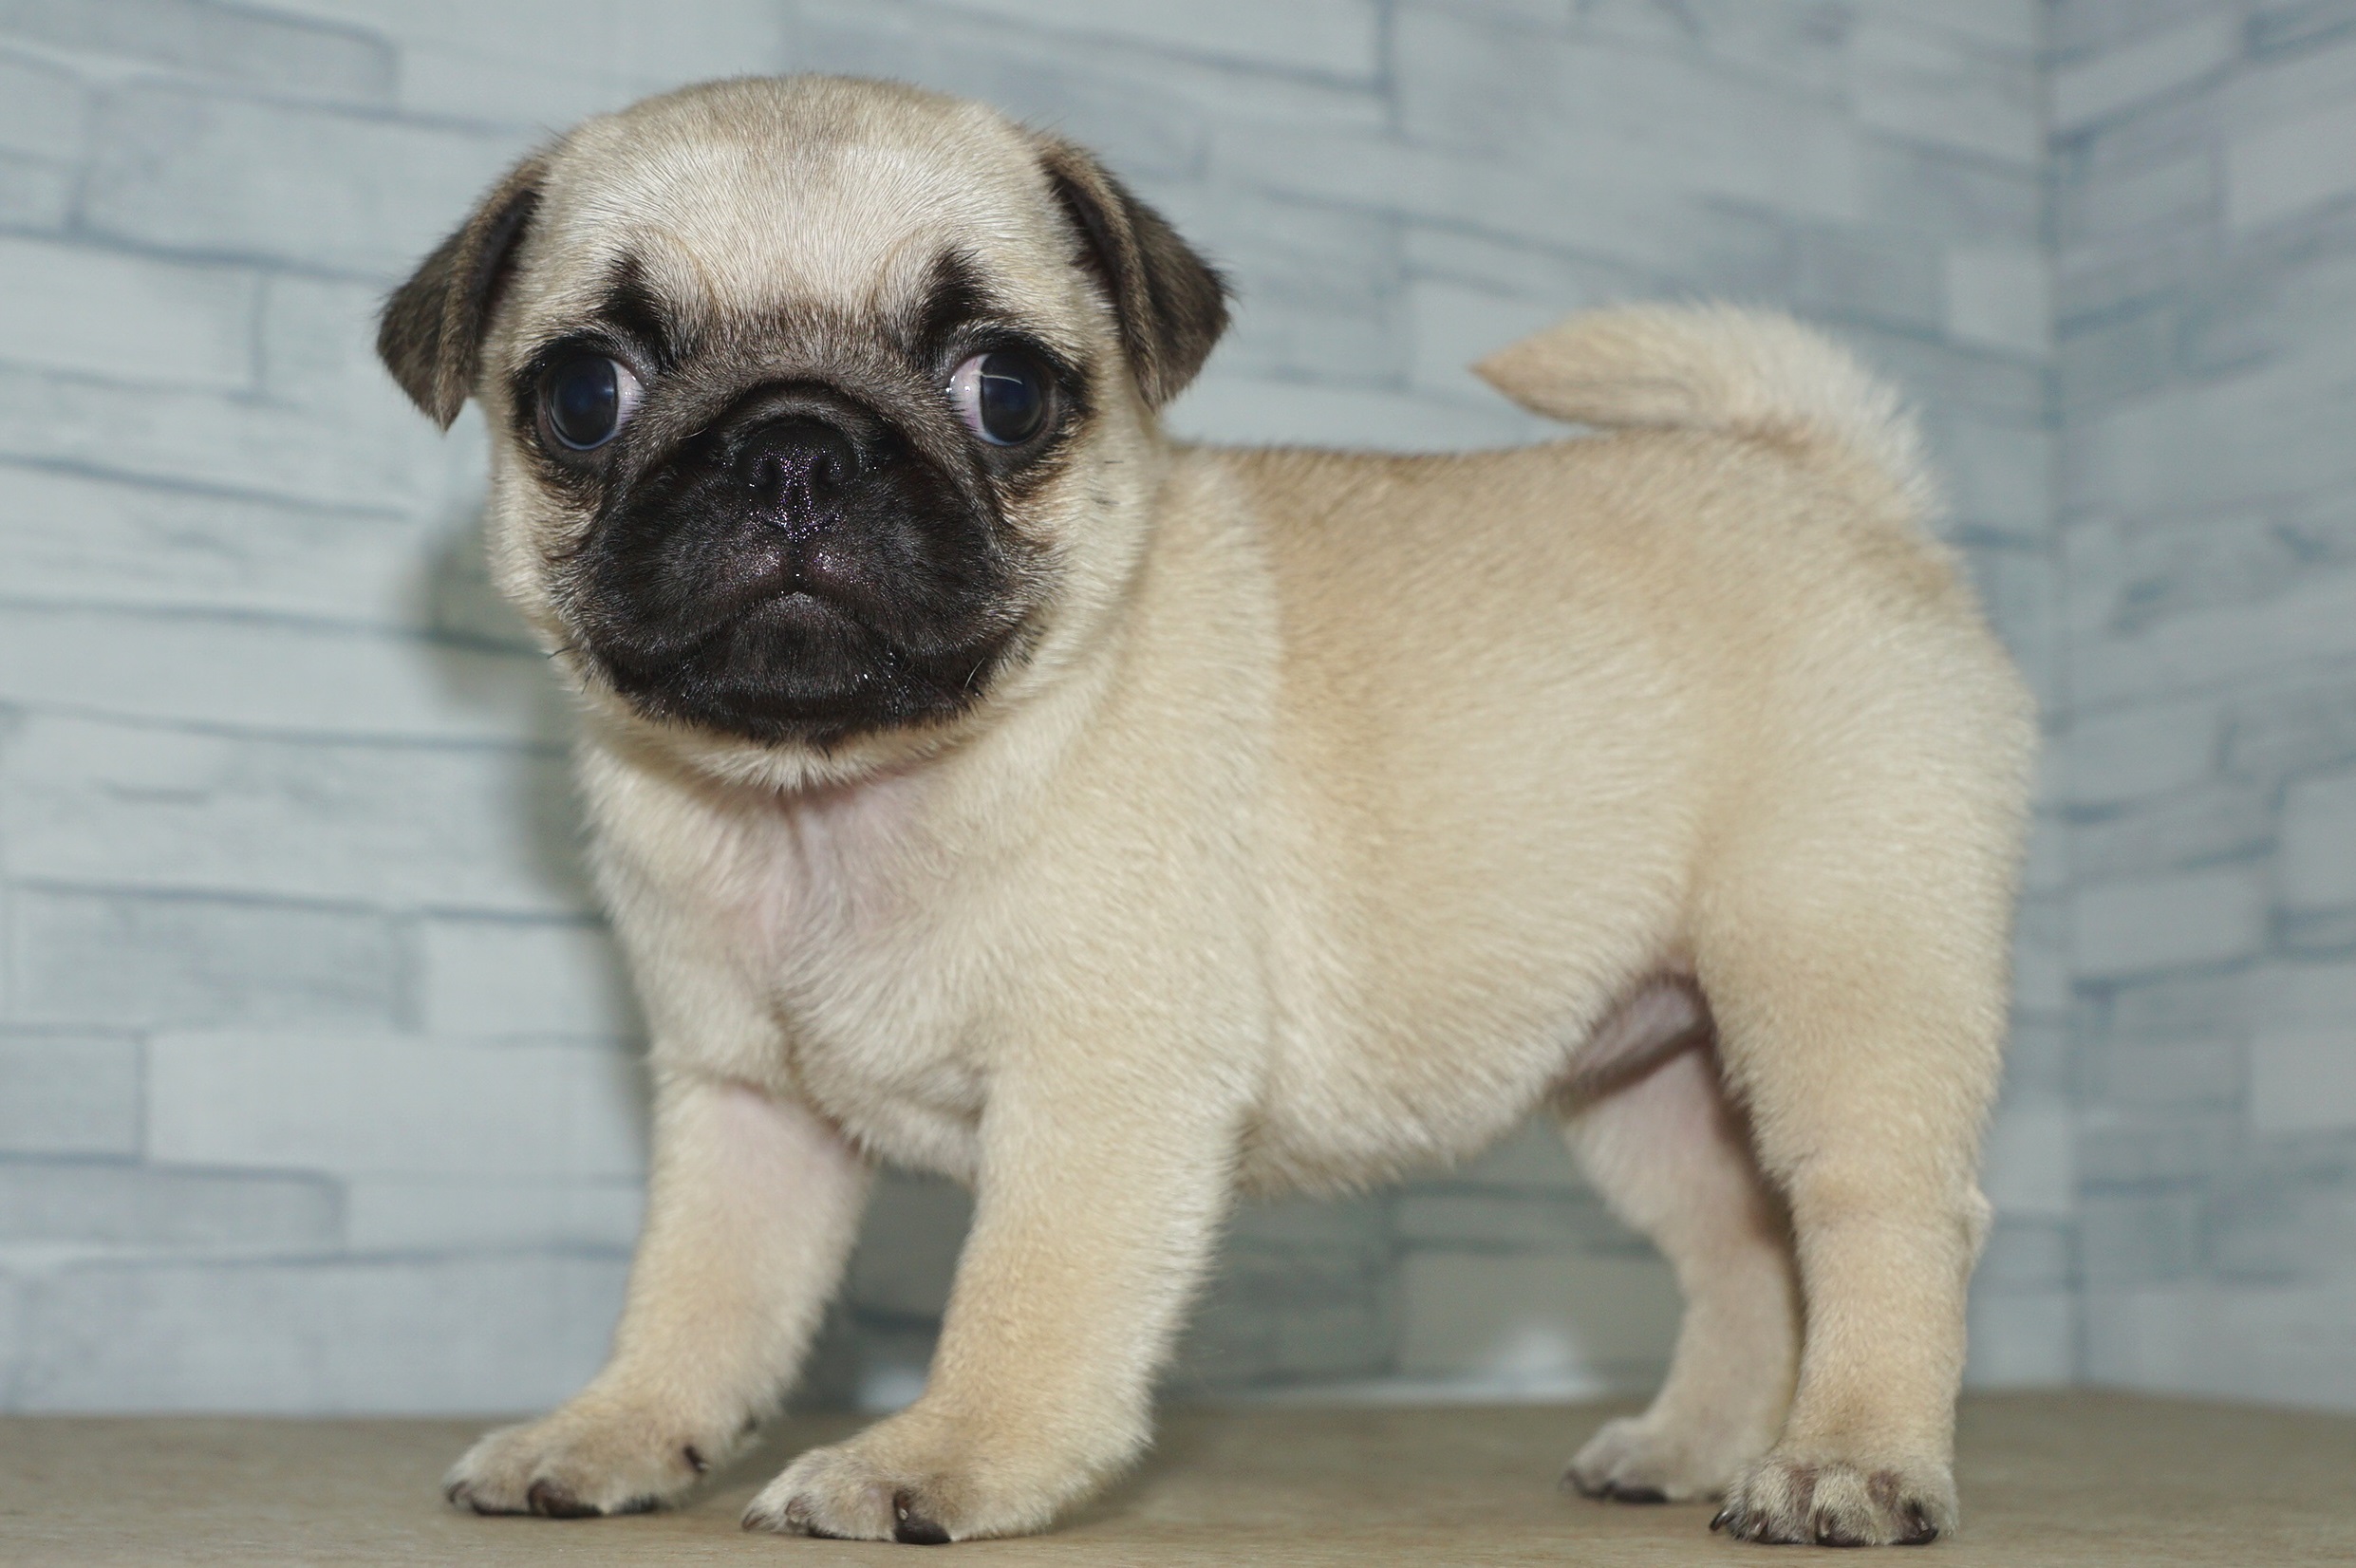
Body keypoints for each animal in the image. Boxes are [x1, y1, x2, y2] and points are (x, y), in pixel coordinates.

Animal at [377, 79, 2035, 1544]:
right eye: (586, 397)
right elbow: (696, 1298)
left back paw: (1844, 1463)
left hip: (1832, 982)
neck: (831, 792)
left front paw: (935, 1460)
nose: (794, 445)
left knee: (1878, 1219)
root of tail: (1832, 487)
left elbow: (1022, 1301)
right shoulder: (744, 1106)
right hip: (1657, 1071)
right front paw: (610, 1432)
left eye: (1006, 391)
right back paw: (1695, 1448)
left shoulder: (1098, 1094)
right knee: (1745, 1253)